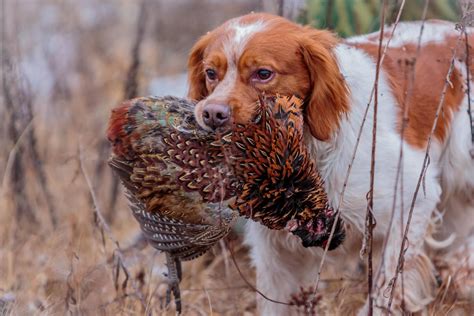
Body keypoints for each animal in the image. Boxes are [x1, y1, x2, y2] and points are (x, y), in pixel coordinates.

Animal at [187, 12, 472, 314]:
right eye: (210, 73)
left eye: (263, 74)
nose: (212, 114)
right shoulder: (273, 250)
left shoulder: (412, 197)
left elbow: (388, 281)